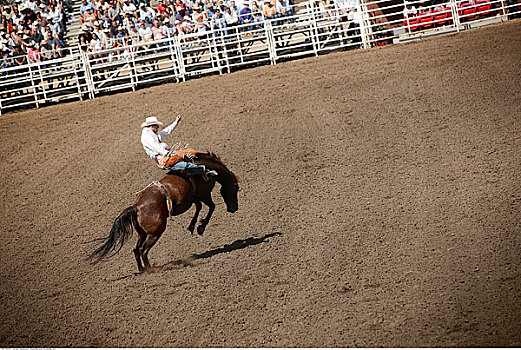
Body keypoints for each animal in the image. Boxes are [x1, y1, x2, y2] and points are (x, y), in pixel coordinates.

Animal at [89, 153, 240, 274]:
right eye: (236, 187)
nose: (234, 208)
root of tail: (136, 207)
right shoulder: (204, 194)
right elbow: (211, 207)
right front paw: (201, 227)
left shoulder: (195, 197)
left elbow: (199, 208)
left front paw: (192, 226)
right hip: (156, 232)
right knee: (143, 250)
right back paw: (151, 269)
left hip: (142, 233)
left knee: (136, 249)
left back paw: (142, 269)